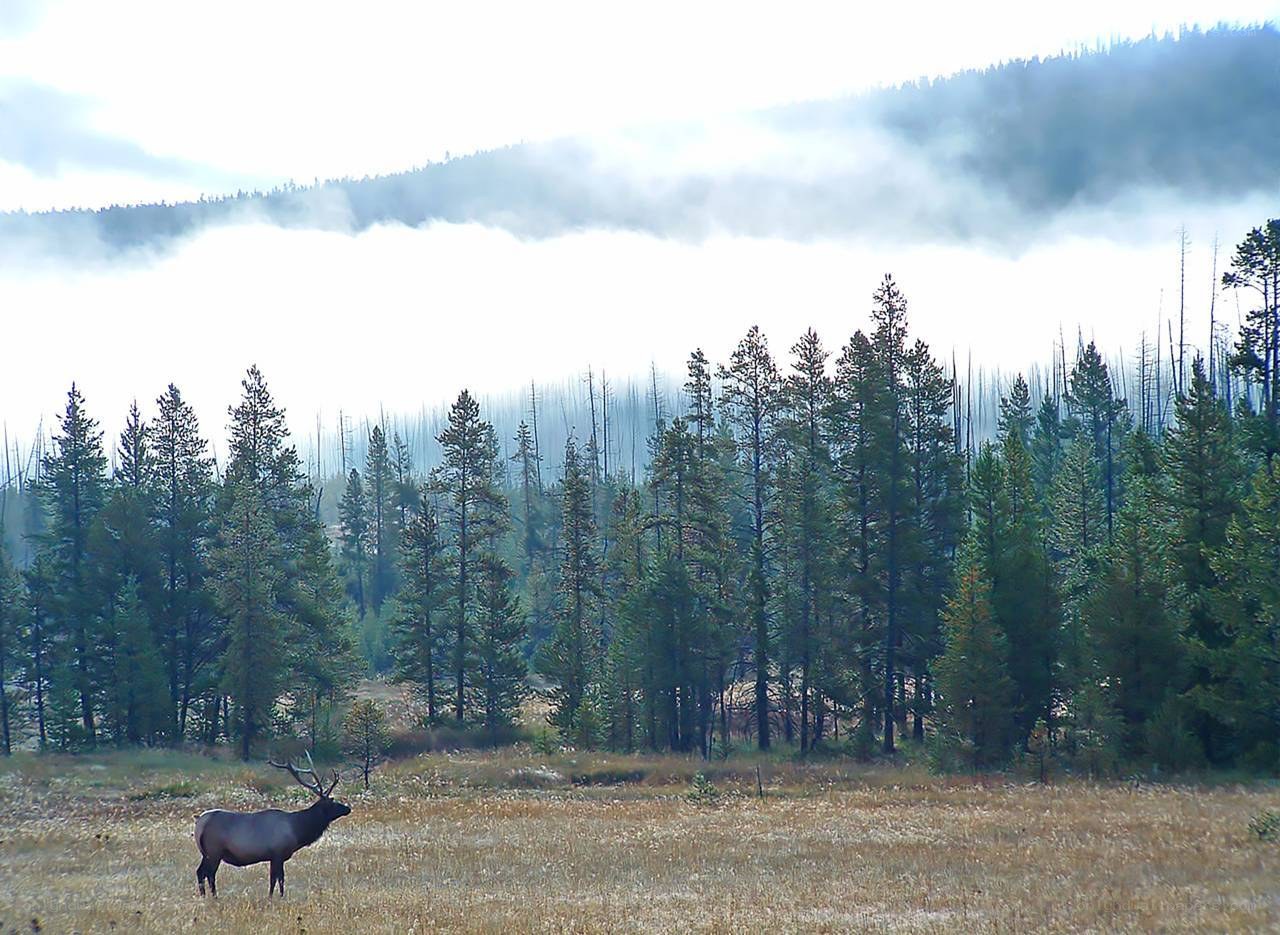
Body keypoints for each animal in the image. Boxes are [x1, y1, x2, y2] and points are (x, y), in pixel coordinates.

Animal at [194, 752, 352, 897]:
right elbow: (278, 879)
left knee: (200, 872)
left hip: (205, 853)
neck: (297, 830)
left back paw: (204, 896)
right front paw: (278, 897)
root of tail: (200, 823)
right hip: (214, 851)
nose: (348, 808)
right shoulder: (278, 853)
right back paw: (214, 896)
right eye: (332, 803)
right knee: (209, 874)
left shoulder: (272, 857)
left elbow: (274, 879)